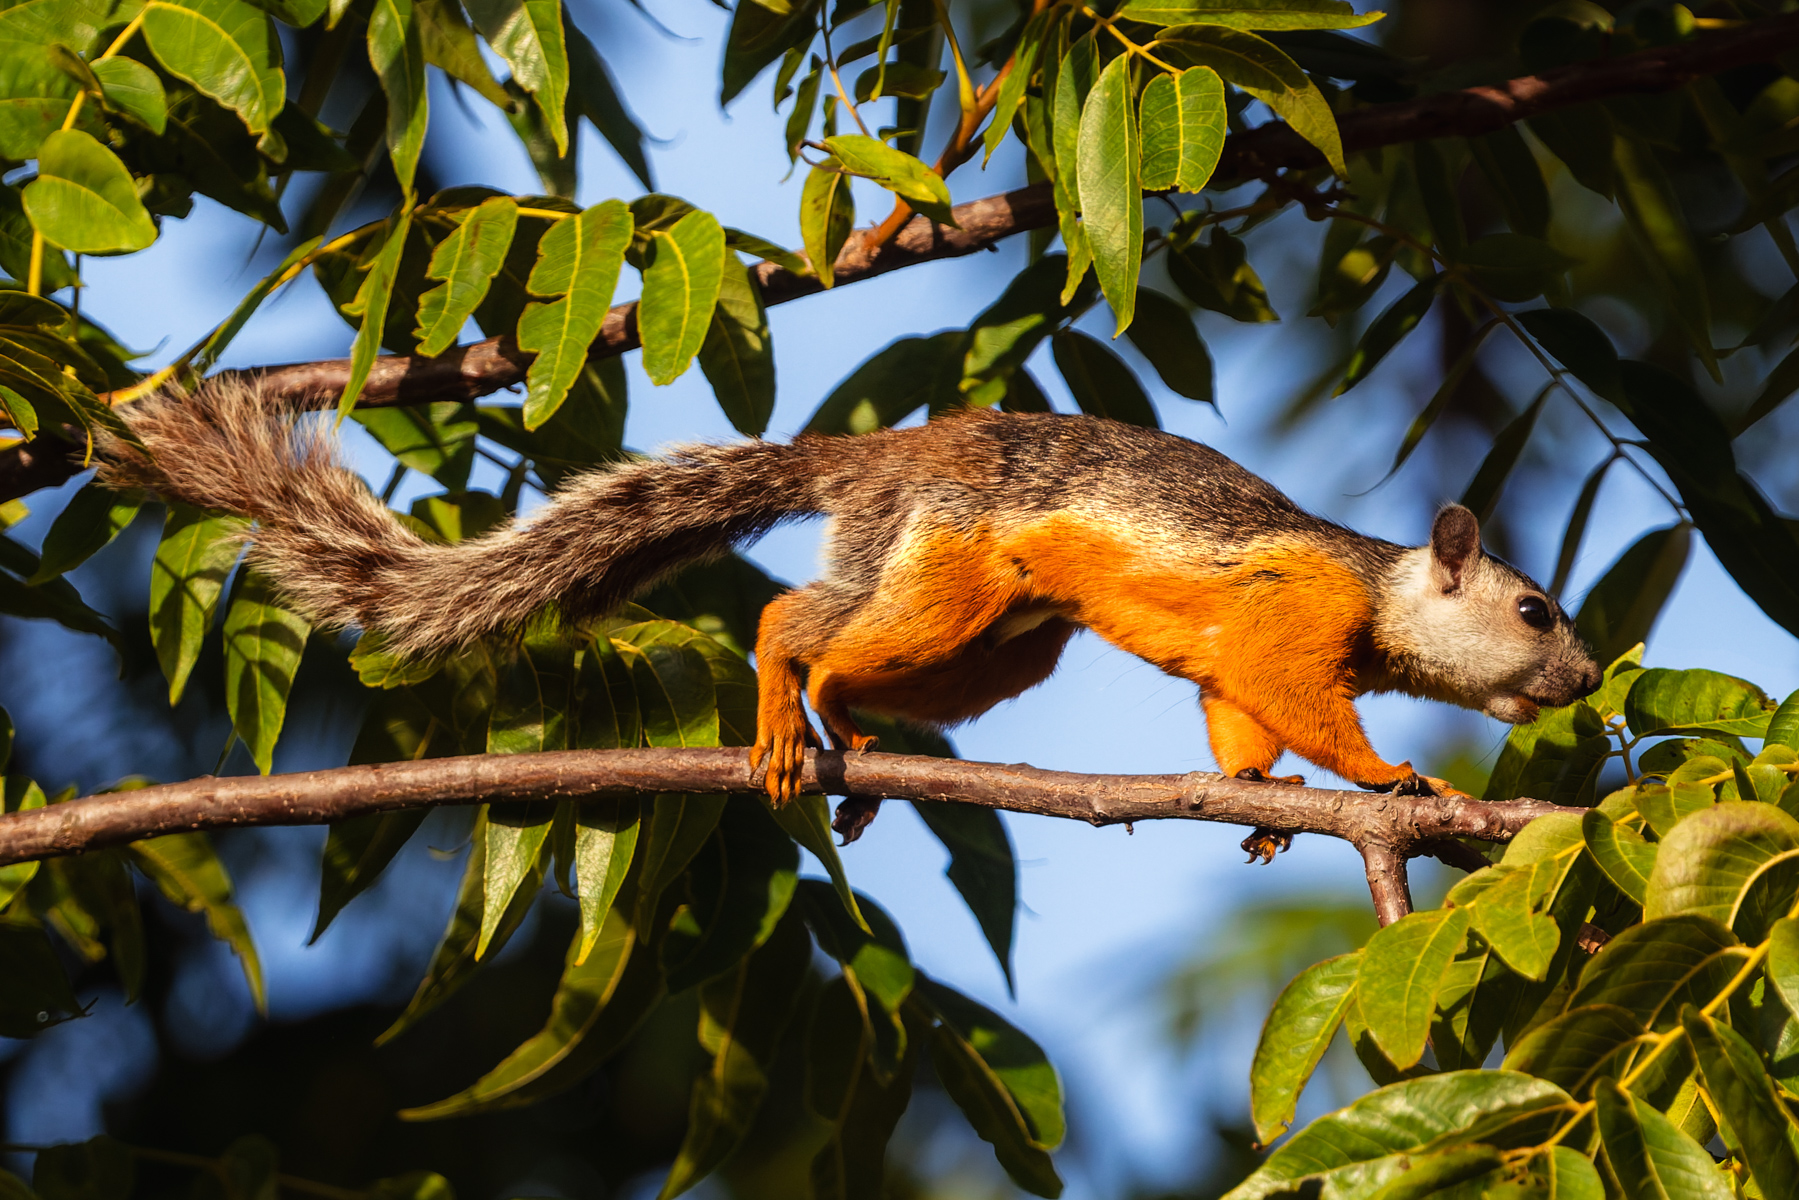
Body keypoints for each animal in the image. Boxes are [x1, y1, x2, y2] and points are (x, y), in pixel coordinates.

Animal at [101, 379, 1600, 856]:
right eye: (1533, 608)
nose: (1587, 679)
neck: (1384, 591)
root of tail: (877, 459)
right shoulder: (1294, 614)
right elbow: (1297, 700)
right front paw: (1382, 776)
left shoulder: (1239, 657)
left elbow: (1235, 720)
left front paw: (1263, 804)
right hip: (947, 577)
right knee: (790, 618)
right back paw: (786, 706)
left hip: (997, 646)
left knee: (862, 658)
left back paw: (851, 738)